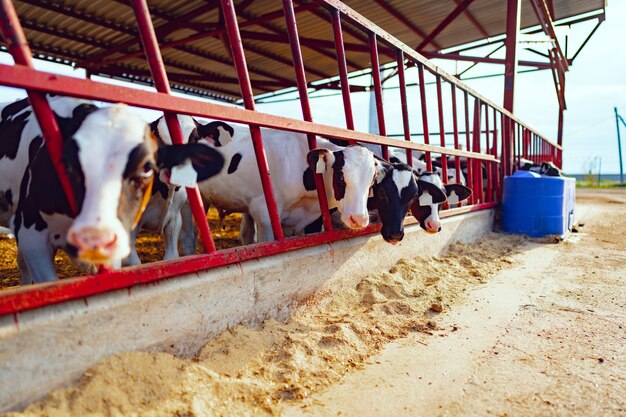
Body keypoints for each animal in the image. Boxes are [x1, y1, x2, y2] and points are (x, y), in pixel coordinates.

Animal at [0, 95, 224, 282]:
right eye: (158, 137)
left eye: (194, 138)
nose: (173, 170)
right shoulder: (31, 233)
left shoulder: (173, 218)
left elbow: (171, 257)